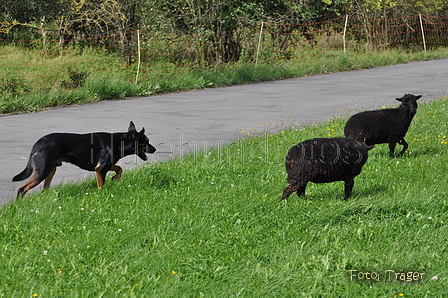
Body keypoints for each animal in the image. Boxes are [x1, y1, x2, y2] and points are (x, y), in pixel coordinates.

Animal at [12, 121, 156, 198]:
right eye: (147, 141)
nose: (154, 149)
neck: (120, 142)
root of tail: (37, 144)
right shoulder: (100, 169)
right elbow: (101, 185)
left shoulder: (105, 165)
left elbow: (119, 168)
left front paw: (115, 178)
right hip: (43, 171)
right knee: (22, 189)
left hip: (50, 170)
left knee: (44, 189)